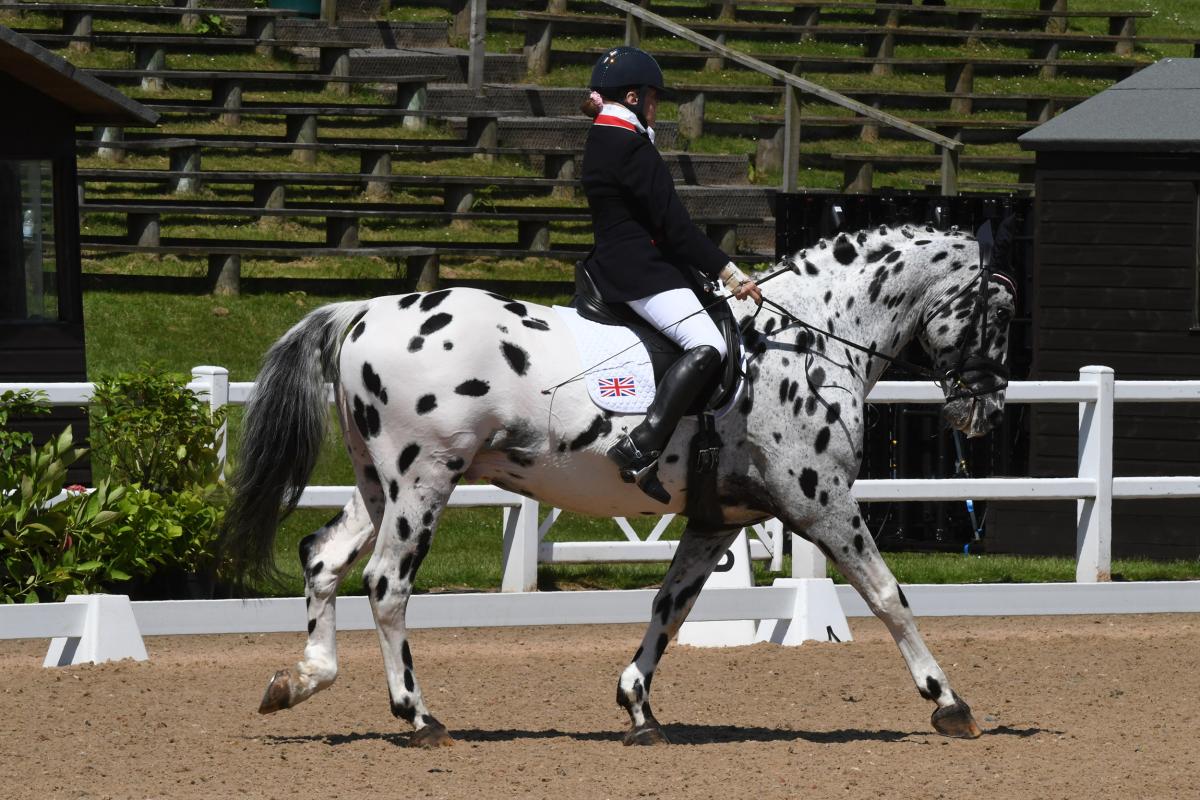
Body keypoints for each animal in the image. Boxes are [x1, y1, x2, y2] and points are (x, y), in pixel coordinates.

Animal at [218, 221, 1012, 748]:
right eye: (999, 314)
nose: (986, 411)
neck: (808, 337)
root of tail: (364, 312)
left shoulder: (719, 518)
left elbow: (671, 606)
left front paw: (638, 707)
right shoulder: (820, 502)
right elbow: (888, 596)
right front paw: (949, 702)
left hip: (377, 484)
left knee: (323, 558)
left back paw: (301, 680)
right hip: (424, 479)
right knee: (386, 582)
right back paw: (417, 715)